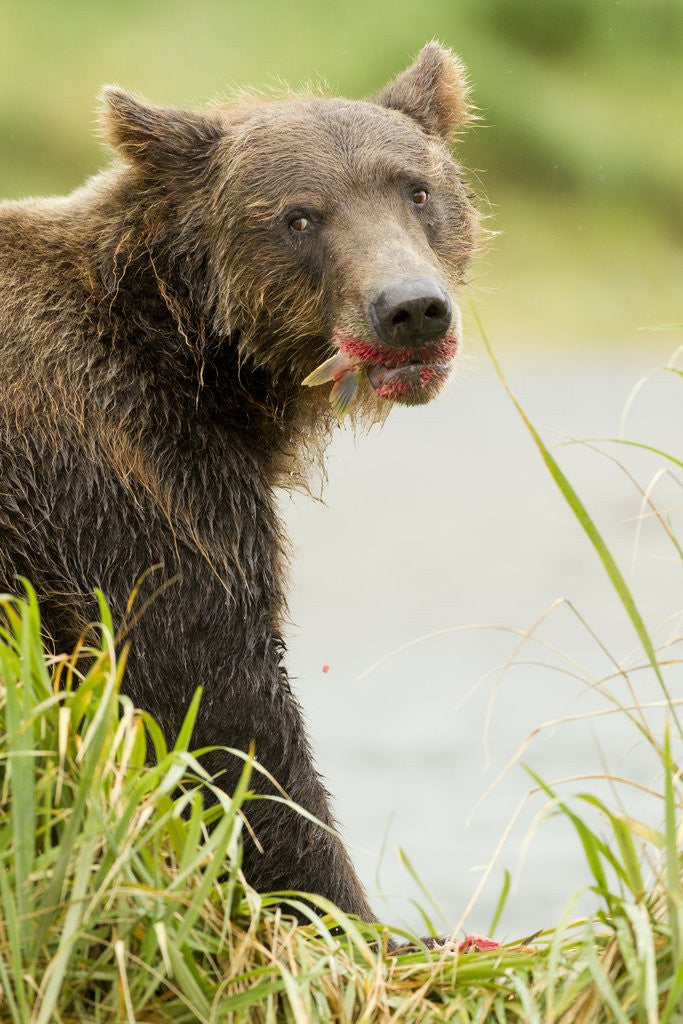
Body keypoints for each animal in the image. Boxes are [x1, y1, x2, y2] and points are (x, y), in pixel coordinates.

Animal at [0, 43, 479, 925]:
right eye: (300, 215)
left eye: (415, 188)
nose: (411, 308)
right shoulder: (124, 473)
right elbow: (212, 699)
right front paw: (361, 919)